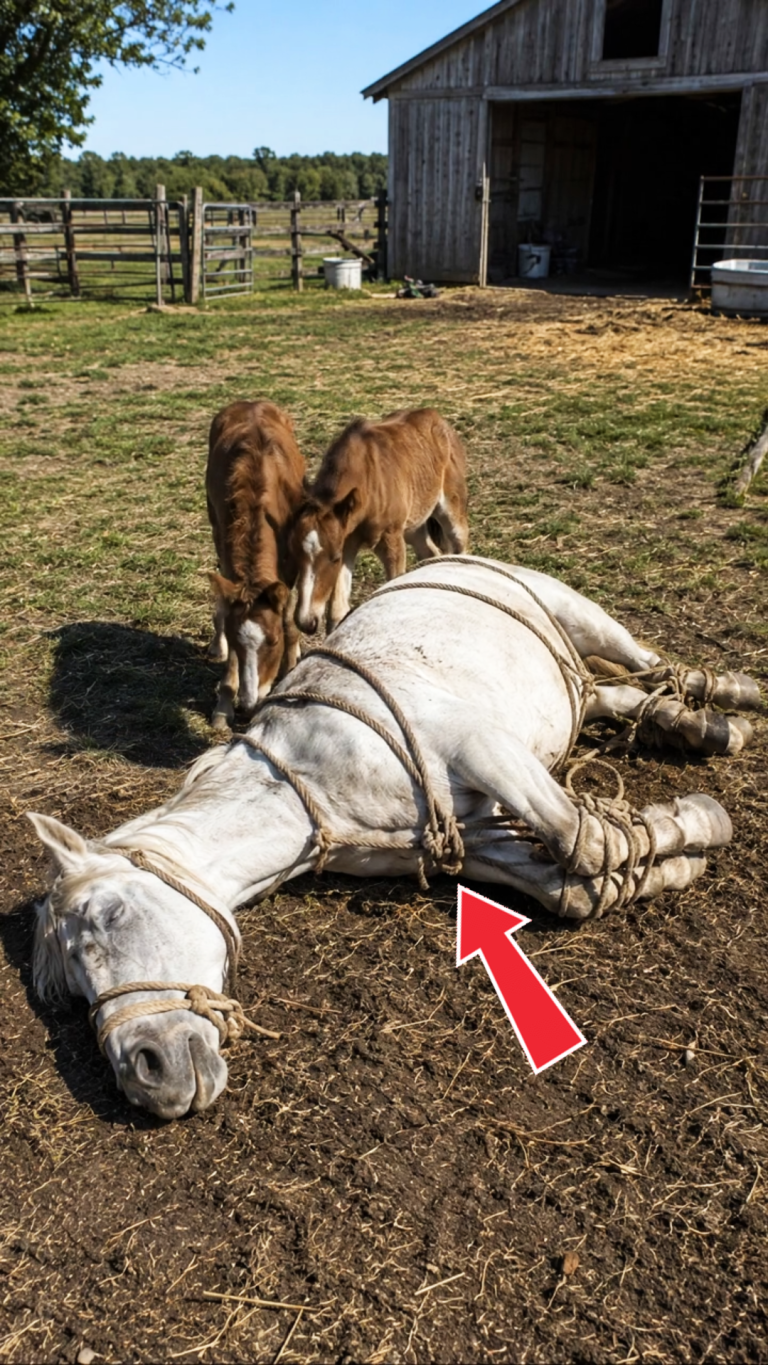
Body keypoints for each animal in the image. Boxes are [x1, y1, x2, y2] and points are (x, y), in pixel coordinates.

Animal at [28, 556, 759, 1120]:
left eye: (107, 914)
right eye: (72, 989)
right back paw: (689, 725)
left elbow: (585, 841)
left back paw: (726, 700)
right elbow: (573, 884)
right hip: (568, 689)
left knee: (652, 664)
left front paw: (694, 825)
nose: (147, 1072)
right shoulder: (465, 836)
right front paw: (665, 856)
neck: (305, 784)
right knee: (607, 693)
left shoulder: (482, 746)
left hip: (577, 613)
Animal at [206, 400, 306, 728]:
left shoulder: (290, 568)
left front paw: (289, 669)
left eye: (272, 643)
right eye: (238, 644)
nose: (249, 704)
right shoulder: (228, 561)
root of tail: (250, 403)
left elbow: (288, 619)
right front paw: (224, 705)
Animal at [291, 407, 468, 634]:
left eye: (333, 558)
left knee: (460, 545)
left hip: (450, 508)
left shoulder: (390, 540)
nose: (306, 622)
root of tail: (436, 417)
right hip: (414, 526)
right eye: (295, 555)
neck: (369, 481)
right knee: (431, 552)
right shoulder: (347, 542)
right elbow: (337, 611)